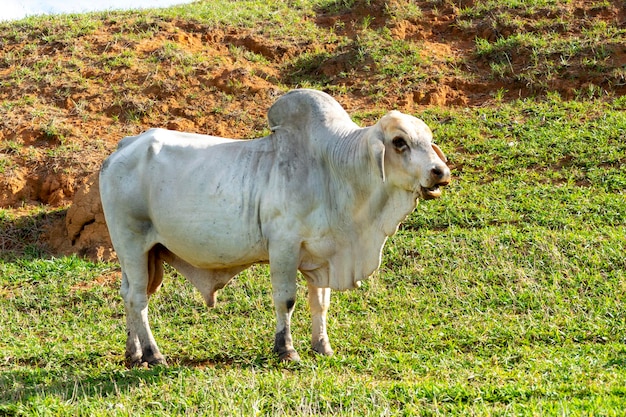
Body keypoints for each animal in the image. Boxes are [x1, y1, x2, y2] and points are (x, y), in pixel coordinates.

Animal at [98, 88, 448, 364]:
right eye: (399, 142)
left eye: (429, 140)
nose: (440, 172)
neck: (333, 170)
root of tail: (123, 147)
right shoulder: (284, 246)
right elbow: (286, 299)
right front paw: (286, 349)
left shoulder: (321, 257)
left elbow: (320, 303)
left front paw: (323, 346)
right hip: (131, 242)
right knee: (138, 298)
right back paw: (153, 354)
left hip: (145, 254)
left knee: (128, 293)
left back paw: (134, 353)